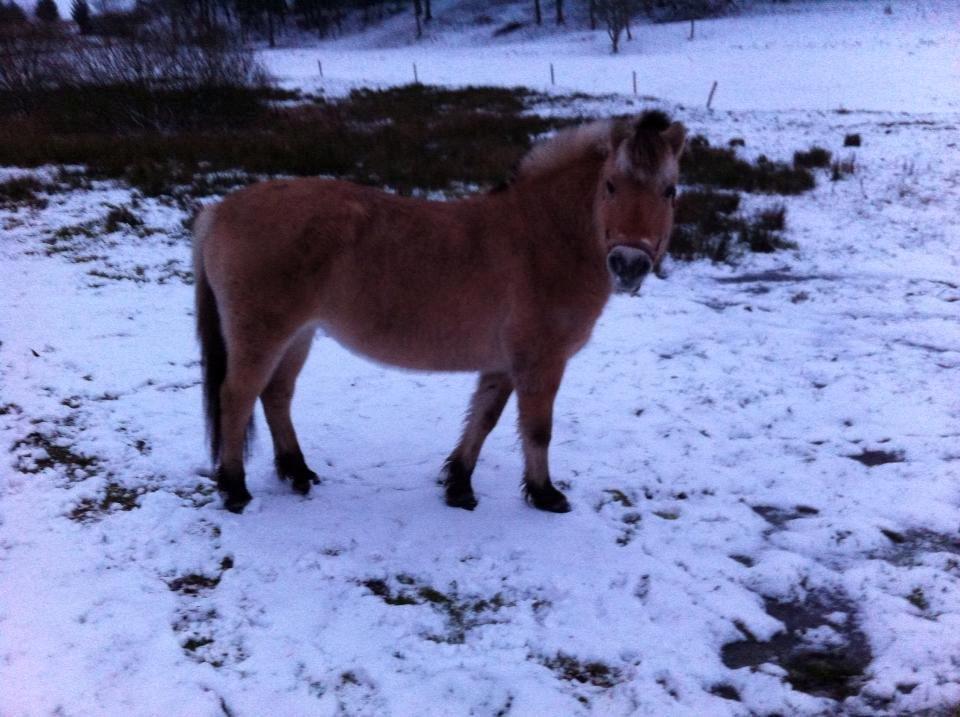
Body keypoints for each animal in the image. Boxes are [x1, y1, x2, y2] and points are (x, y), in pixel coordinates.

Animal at [193, 110, 684, 516]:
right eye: (611, 185)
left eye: (669, 190)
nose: (629, 264)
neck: (542, 237)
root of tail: (218, 210)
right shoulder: (541, 362)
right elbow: (537, 428)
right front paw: (545, 494)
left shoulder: (503, 363)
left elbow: (484, 418)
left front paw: (459, 485)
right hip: (261, 335)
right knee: (237, 397)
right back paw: (235, 489)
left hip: (298, 335)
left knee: (276, 395)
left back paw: (297, 472)